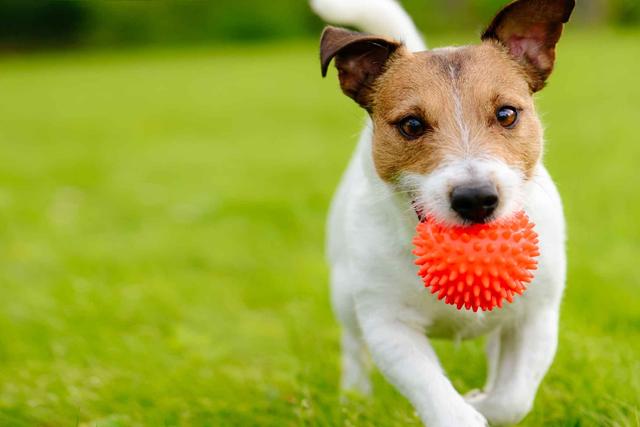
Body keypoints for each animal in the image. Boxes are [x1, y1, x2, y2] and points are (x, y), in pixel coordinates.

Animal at [312, 0, 576, 426]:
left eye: (506, 114)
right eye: (411, 124)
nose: (476, 198)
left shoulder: (535, 317)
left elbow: (512, 398)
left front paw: (480, 400)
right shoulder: (388, 326)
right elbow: (440, 398)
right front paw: (467, 409)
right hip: (344, 293)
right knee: (353, 344)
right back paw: (355, 397)